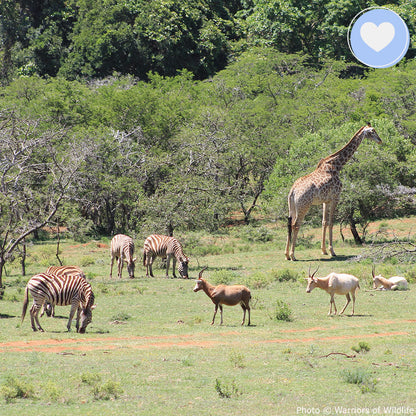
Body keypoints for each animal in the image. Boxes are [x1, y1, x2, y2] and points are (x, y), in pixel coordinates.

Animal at [284, 124, 382, 260]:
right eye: (372, 131)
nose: (380, 140)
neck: (337, 165)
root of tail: (293, 190)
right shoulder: (336, 197)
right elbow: (331, 223)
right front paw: (332, 251)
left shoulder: (326, 200)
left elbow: (324, 222)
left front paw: (324, 250)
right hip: (304, 205)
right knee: (296, 224)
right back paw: (293, 255)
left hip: (292, 206)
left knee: (289, 224)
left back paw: (286, 254)